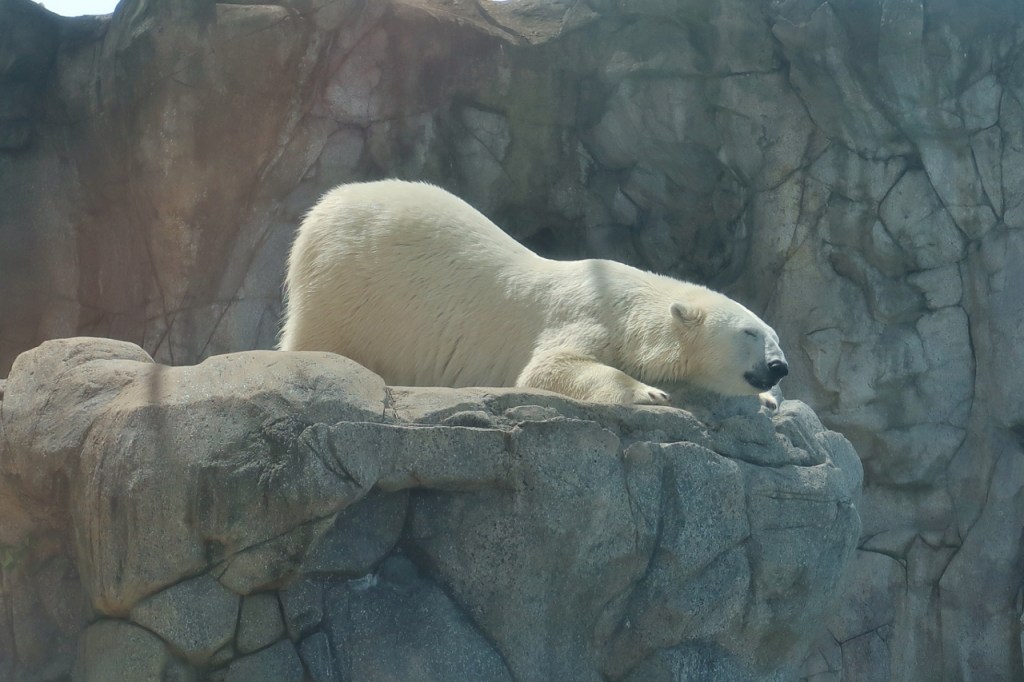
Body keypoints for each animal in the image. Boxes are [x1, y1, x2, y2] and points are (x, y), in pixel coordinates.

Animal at [278, 180, 789, 407]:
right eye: (748, 332)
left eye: (774, 335)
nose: (779, 367)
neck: (631, 304)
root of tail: (325, 207)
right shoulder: (588, 313)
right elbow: (549, 368)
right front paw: (648, 391)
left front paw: (768, 401)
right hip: (346, 284)